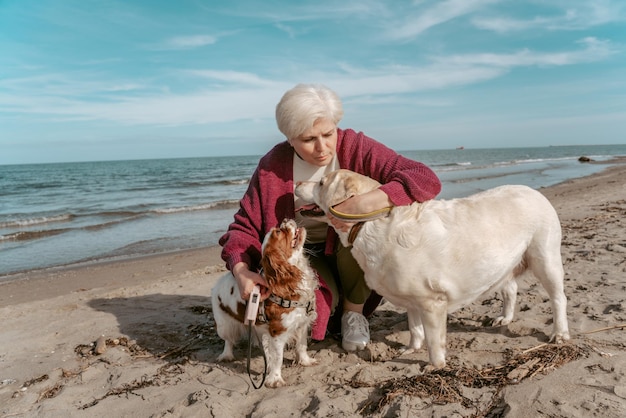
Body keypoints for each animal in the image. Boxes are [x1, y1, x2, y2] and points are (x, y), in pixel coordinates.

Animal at [211, 219, 316, 388]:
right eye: (279, 232)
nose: (286, 220)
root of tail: (219, 281)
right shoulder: (277, 333)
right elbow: (278, 358)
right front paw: (275, 379)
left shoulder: (302, 323)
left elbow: (301, 345)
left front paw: (305, 361)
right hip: (223, 325)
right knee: (228, 340)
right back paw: (226, 355)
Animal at [294, 169, 568, 370]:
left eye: (321, 182)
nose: (297, 182)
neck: (368, 223)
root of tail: (533, 192)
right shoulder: (412, 299)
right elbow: (415, 327)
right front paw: (412, 348)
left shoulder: (431, 301)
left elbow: (435, 341)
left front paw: (435, 365)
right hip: (503, 261)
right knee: (510, 287)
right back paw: (505, 317)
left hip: (545, 257)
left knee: (558, 298)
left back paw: (560, 333)